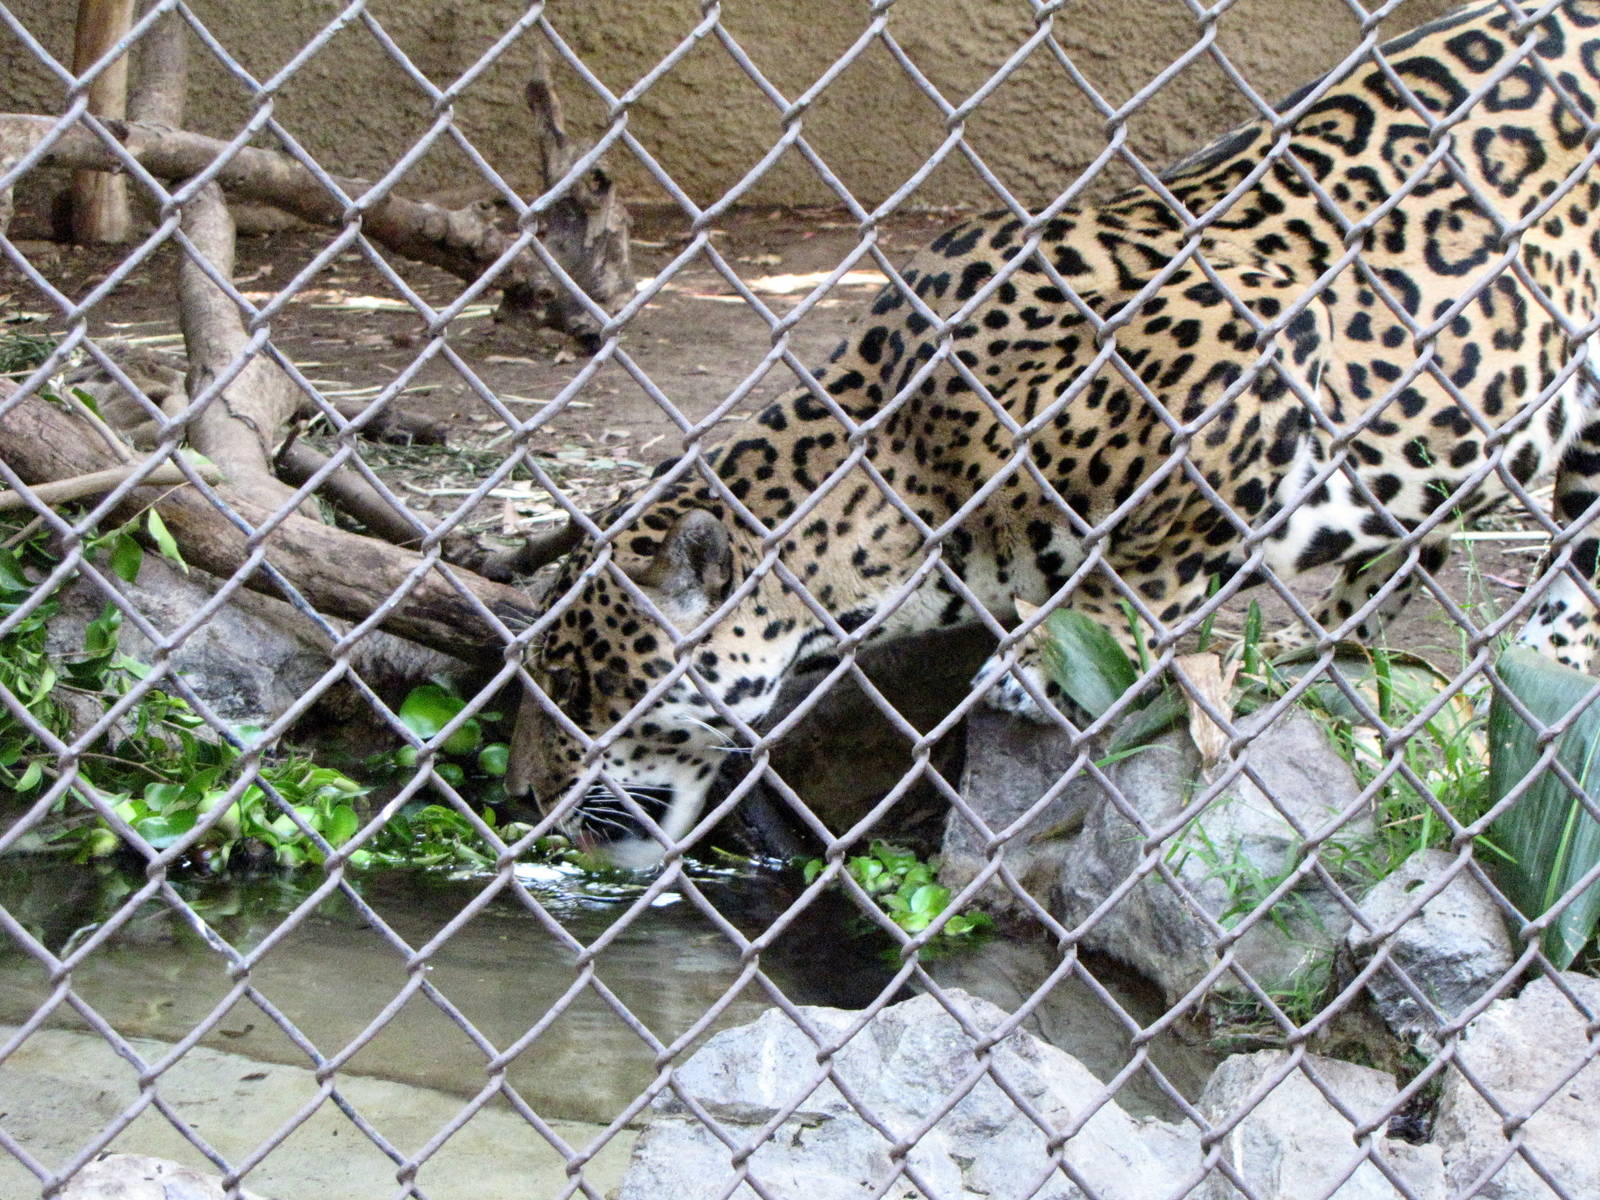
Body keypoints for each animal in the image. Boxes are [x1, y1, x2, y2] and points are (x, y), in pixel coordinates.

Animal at [506, 0, 1600, 867]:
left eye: (576, 680)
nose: (518, 795)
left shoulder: (1245, 356)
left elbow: (1149, 566)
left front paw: (1054, 657)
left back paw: (1544, 666)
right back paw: (1338, 656)